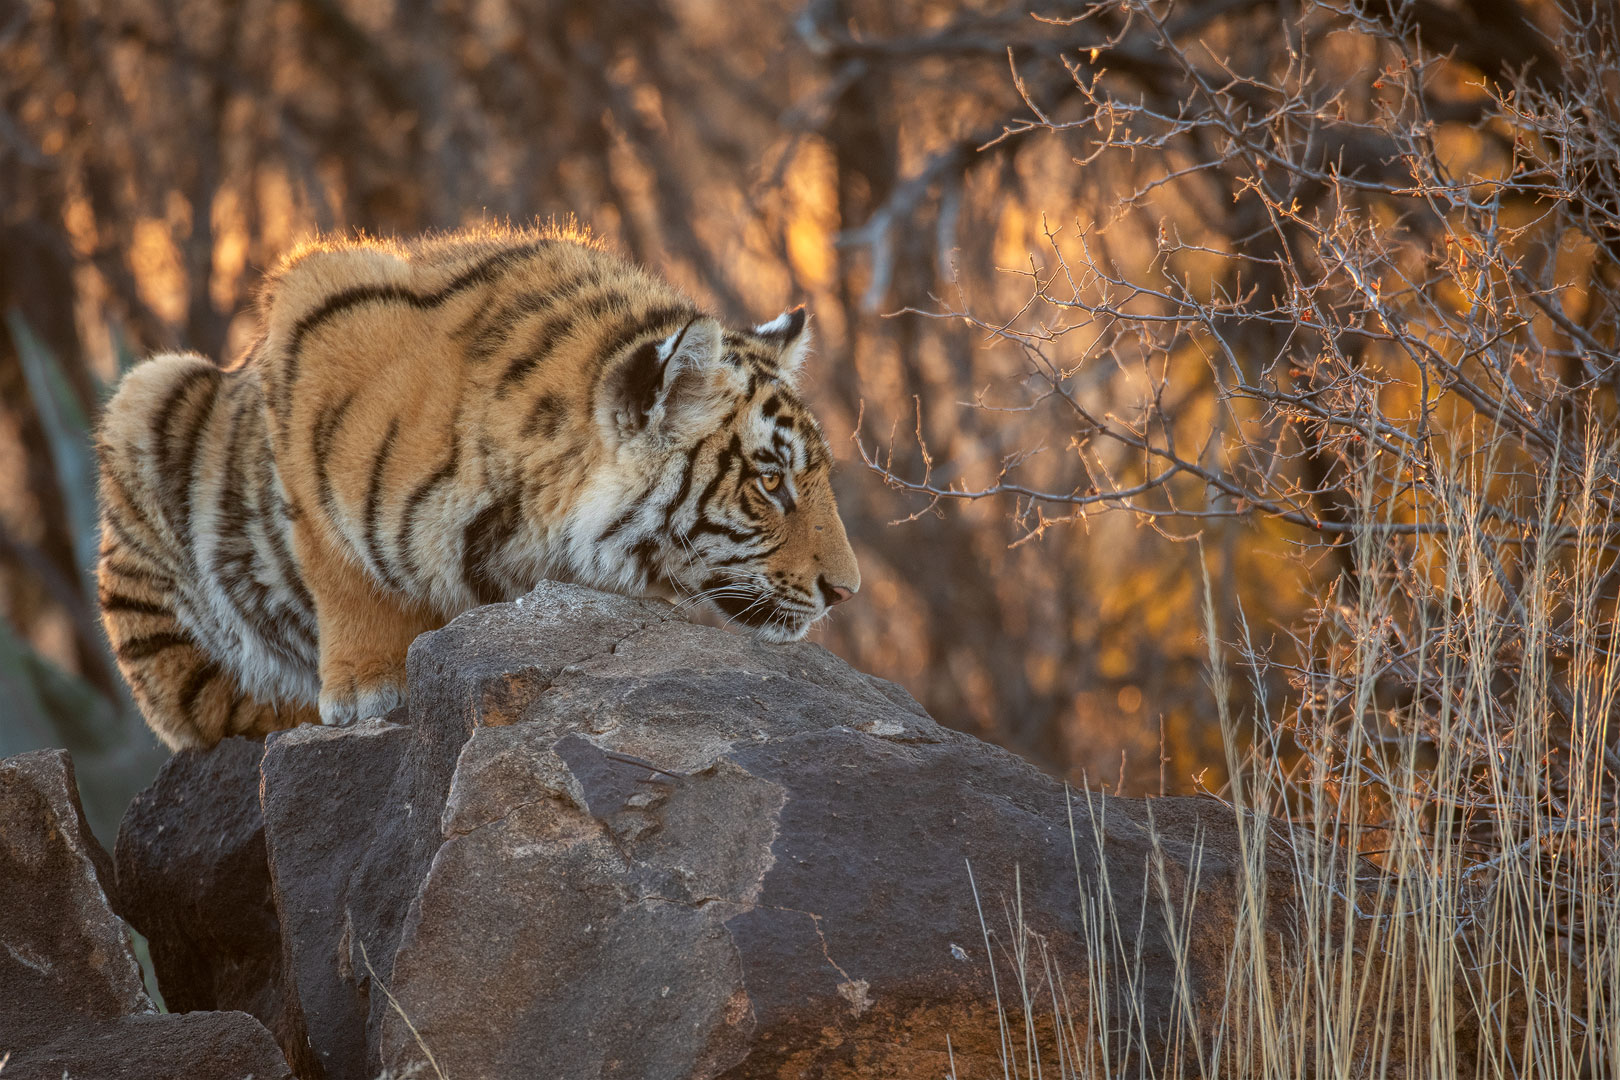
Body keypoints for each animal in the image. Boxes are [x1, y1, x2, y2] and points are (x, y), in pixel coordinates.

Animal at [96, 226, 861, 751]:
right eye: (771, 481)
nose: (846, 593)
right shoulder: (312, 314)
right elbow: (336, 559)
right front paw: (368, 684)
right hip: (144, 394)